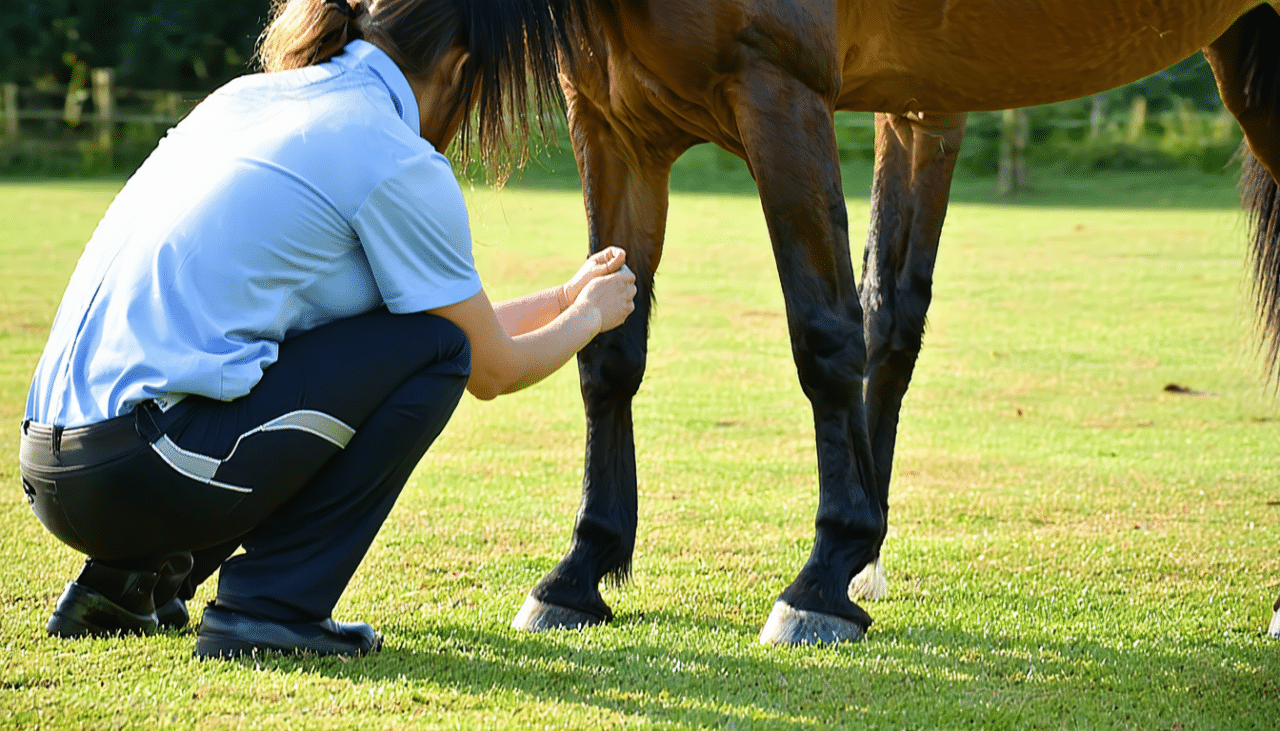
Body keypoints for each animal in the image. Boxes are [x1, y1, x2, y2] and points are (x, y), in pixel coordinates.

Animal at [506, 0, 1280, 644]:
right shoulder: (612, 118)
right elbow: (610, 348)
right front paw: (579, 570)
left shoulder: (781, 91)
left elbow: (826, 332)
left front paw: (822, 580)